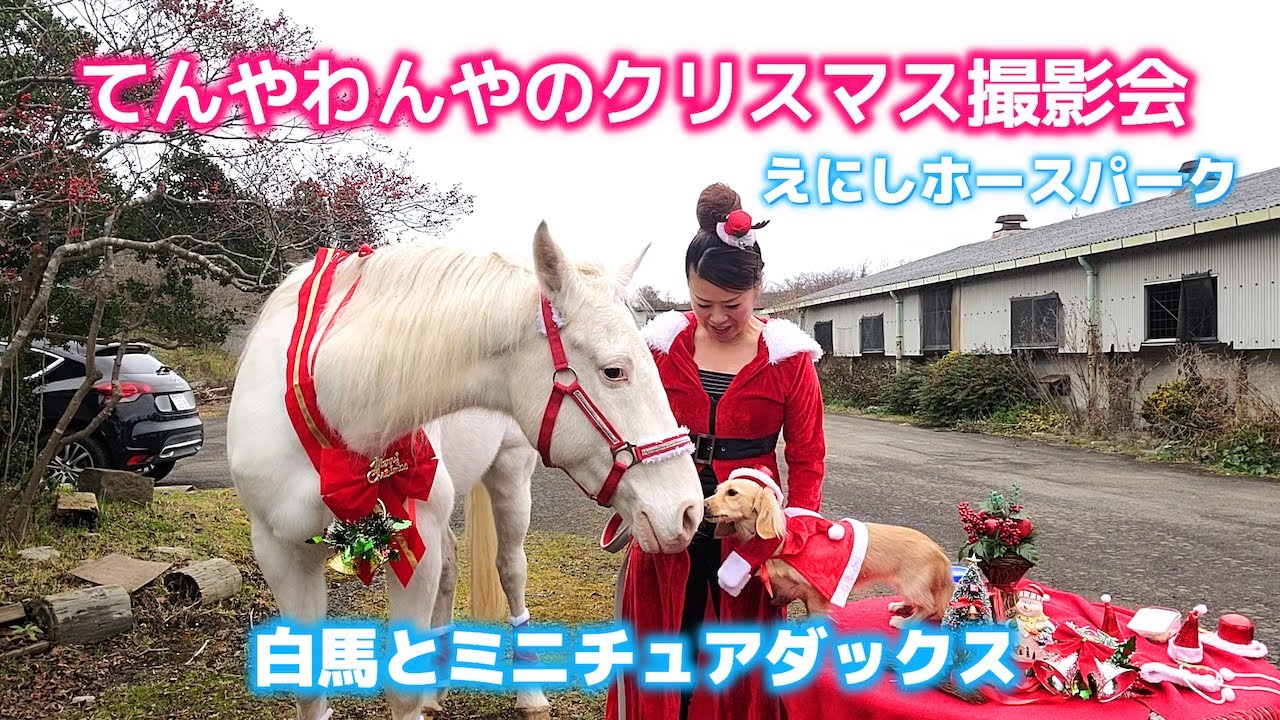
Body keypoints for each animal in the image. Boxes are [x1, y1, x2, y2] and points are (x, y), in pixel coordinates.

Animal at [227, 223, 704, 720]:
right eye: (614, 371)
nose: (687, 511)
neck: (331, 406)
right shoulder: (281, 555)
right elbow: (309, 690)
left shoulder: (412, 552)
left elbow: (402, 691)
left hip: (510, 473)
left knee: (510, 569)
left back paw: (528, 692)